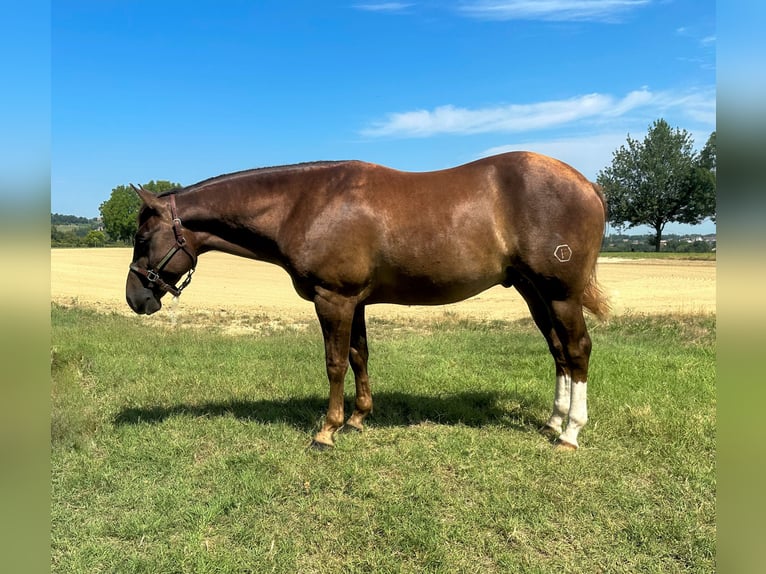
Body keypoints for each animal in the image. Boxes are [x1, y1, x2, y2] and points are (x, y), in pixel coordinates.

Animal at [126, 151, 609, 450]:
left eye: (143, 238)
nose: (135, 298)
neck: (304, 204)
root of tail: (587, 184)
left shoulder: (333, 299)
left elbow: (335, 362)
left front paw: (327, 430)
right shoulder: (354, 302)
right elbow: (359, 355)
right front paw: (358, 419)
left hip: (561, 293)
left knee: (578, 350)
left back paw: (570, 433)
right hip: (534, 291)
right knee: (559, 351)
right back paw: (553, 421)